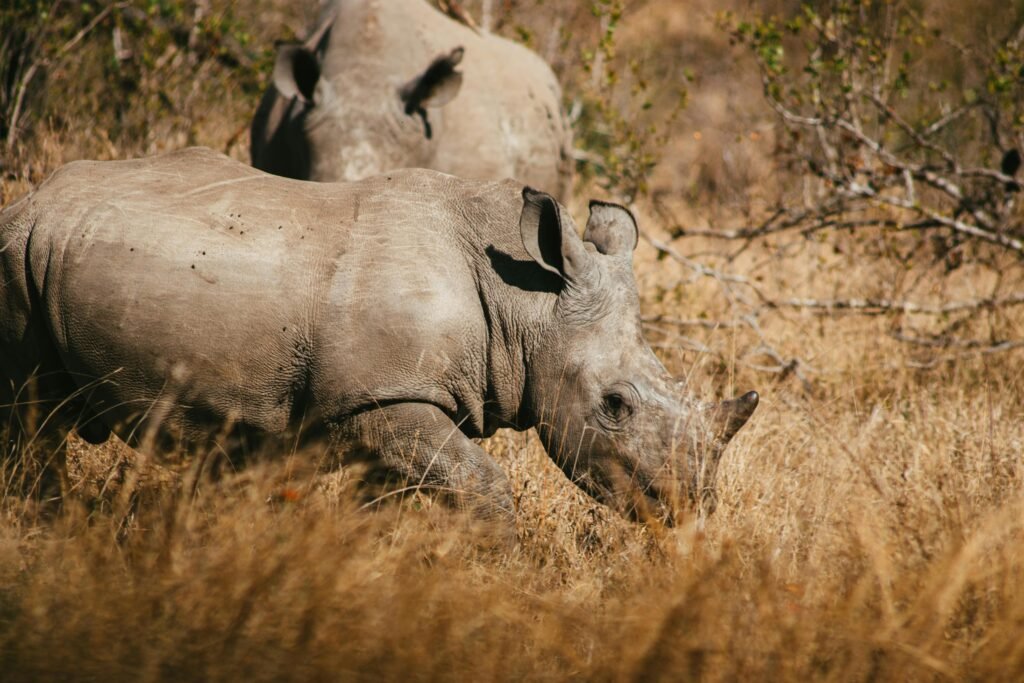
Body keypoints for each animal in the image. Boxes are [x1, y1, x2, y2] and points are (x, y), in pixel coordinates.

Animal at [0, 148, 756, 527]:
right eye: (615, 406)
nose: (688, 511)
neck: (528, 304)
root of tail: (31, 199)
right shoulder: (388, 395)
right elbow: (484, 487)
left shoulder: (385, 406)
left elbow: (392, 499)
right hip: (19, 255)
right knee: (28, 414)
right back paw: (44, 527)